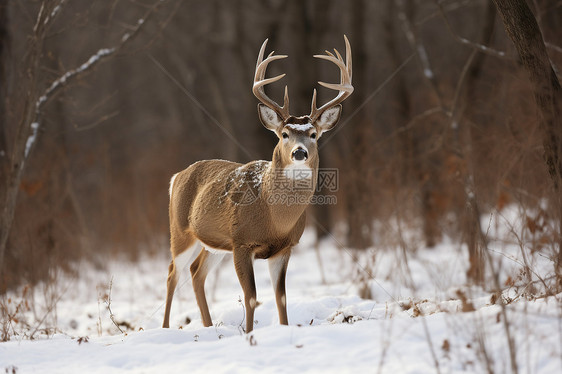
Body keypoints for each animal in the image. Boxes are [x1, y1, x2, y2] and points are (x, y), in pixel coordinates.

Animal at [162, 35, 352, 334]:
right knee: (173, 272)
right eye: (284, 134)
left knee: (196, 273)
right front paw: (250, 334)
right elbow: (251, 297)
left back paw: (208, 326)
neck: (275, 219)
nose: (300, 152)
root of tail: (177, 176)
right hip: (180, 231)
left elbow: (281, 297)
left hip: (214, 243)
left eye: (313, 134)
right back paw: (166, 328)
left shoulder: (285, 248)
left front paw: (283, 329)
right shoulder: (242, 242)